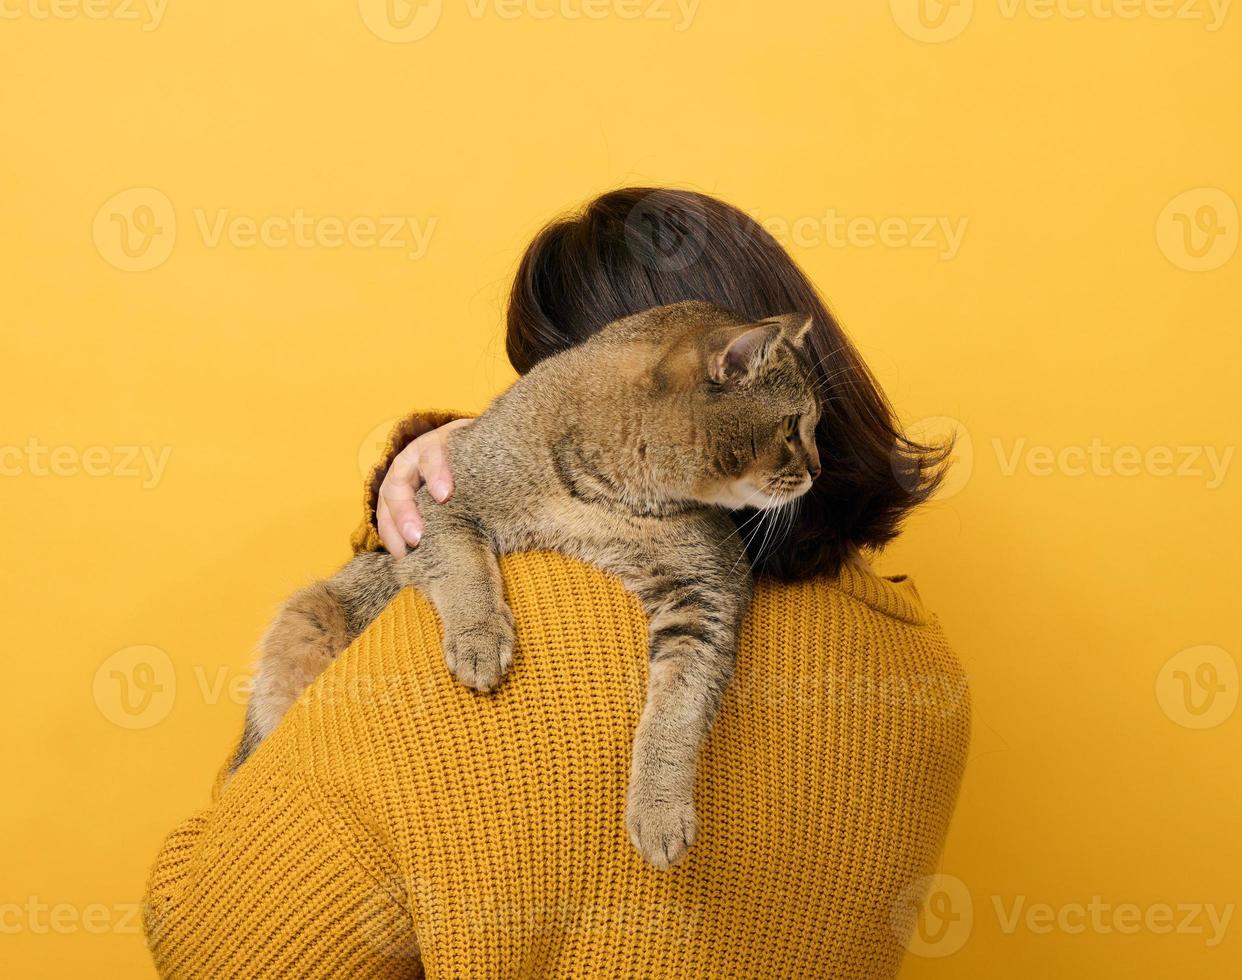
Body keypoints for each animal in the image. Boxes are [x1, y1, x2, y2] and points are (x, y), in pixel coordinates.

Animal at [235, 301, 819, 869]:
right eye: (792, 427)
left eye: (810, 427)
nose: (816, 469)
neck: (612, 493)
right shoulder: (440, 507)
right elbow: (467, 569)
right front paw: (479, 640)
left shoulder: (708, 595)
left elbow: (677, 710)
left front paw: (659, 808)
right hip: (306, 618)